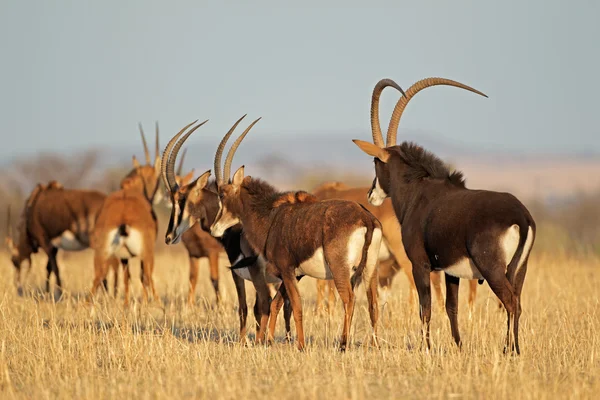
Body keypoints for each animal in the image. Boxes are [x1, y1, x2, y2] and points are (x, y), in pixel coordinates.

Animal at [157, 116, 284, 344]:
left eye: (182, 199)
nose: (169, 236)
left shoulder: (238, 273)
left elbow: (245, 308)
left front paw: (243, 342)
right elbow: (257, 309)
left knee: (266, 303)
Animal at [204, 115, 382, 350]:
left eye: (222, 196)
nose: (214, 228)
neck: (270, 216)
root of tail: (366, 219)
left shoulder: (288, 270)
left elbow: (295, 306)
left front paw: (300, 345)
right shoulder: (292, 274)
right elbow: (276, 304)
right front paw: (269, 341)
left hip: (340, 270)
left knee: (349, 299)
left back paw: (343, 344)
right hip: (370, 269)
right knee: (373, 303)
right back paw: (375, 344)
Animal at [352, 77, 536, 354]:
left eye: (376, 162)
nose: (370, 194)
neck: (418, 191)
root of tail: (521, 217)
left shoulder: (420, 264)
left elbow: (425, 308)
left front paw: (425, 348)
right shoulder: (451, 271)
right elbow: (451, 308)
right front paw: (458, 346)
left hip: (493, 269)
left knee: (511, 302)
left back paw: (508, 351)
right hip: (519, 270)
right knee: (519, 303)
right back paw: (515, 350)